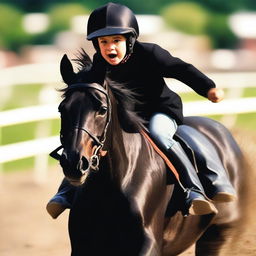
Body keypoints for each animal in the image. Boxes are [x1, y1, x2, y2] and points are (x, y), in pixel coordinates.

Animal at [50, 53, 248, 254]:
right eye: (62, 109)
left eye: (102, 109)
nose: (74, 163)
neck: (114, 181)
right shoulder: (83, 244)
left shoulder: (149, 242)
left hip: (218, 235)